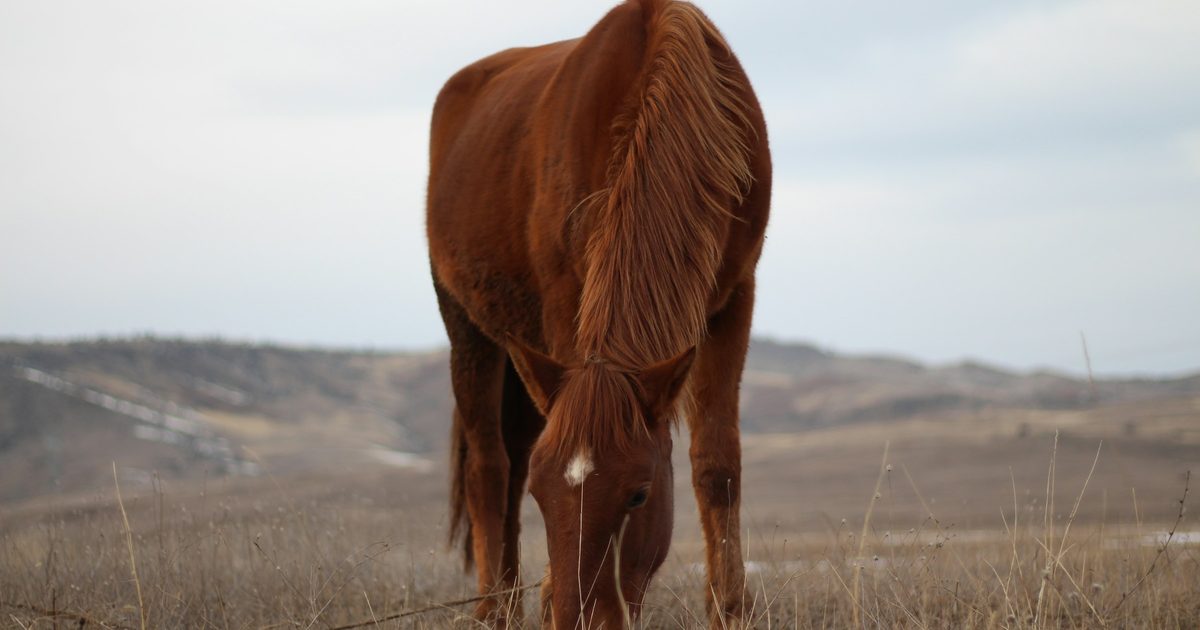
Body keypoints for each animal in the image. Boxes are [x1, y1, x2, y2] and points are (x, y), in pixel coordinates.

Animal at [426, 0, 770, 626]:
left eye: (638, 495)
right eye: (545, 497)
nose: (578, 617)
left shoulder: (735, 296)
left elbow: (717, 462)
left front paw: (731, 608)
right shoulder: (566, 301)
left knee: (509, 460)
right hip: (466, 327)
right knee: (489, 469)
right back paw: (494, 609)